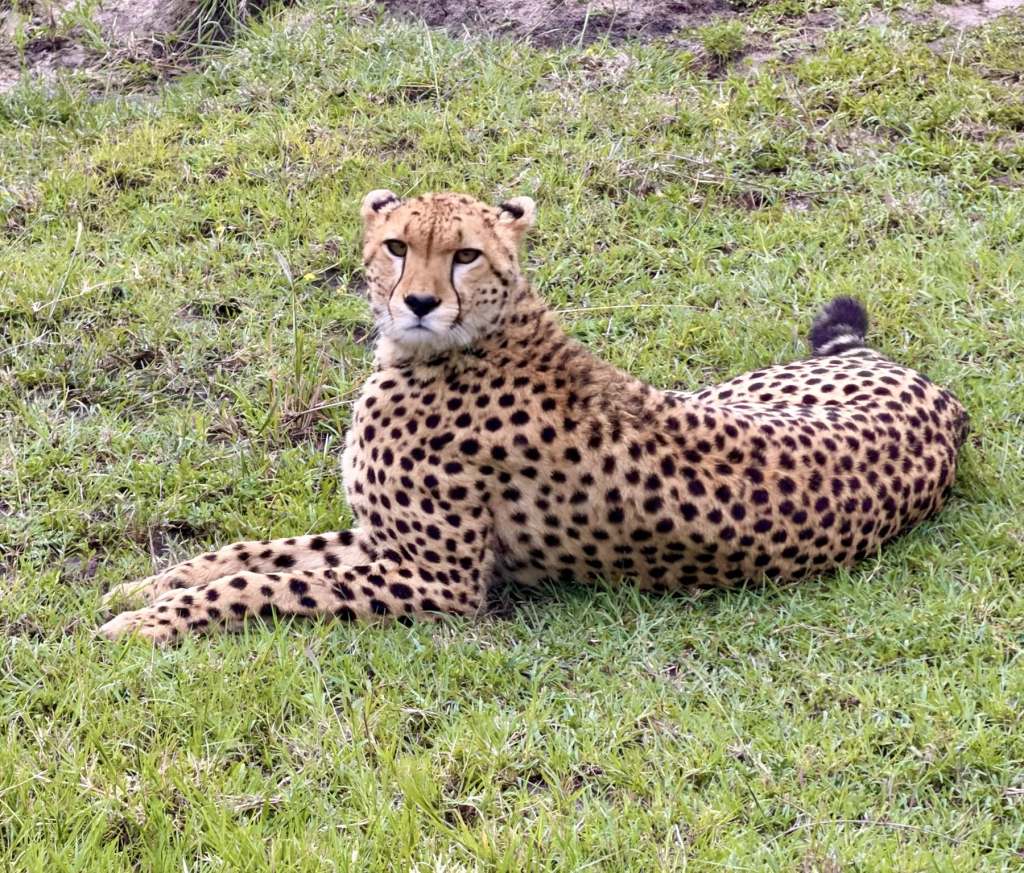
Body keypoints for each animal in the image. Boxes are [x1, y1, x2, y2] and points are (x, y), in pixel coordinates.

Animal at [99, 190, 969, 644]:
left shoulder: (440, 580)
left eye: (465, 255)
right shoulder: (383, 540)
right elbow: (259, 552)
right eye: (396, 245)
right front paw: (150, 583)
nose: (419, 302)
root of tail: (940, 398)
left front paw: (155, 620)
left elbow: (268, 584)